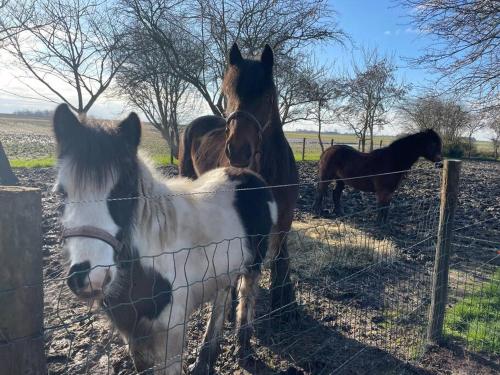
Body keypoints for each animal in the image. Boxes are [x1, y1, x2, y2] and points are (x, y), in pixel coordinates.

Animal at [53, 104, 278, 374]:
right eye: (61, 193)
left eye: (123, 192)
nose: (89, 278)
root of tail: (251, 176)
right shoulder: (133, 333)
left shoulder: (171, 332)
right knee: (223, 296)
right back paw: (205, 358)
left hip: (254, 263)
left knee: (246, 296)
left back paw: (242, 348)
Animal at [178, 44, 298, 320]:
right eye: (226, 93)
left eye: (267, 96)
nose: (238, 151)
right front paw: (232, 306)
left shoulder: (284, 219)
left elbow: (280, 258)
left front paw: (282, 303)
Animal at [312, 129, 442, 223]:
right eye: (432, 144)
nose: (440, 163)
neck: (393, 160)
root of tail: (327, 150)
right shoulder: (383, 191)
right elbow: (381, 206)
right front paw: (379, 224)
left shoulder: (389, 191)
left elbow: (386, 207)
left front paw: (385, 224)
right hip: (326, 177)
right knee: (320, 191)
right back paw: (317, 212)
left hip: (341, 180)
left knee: (336, 194)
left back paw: (339, 212)